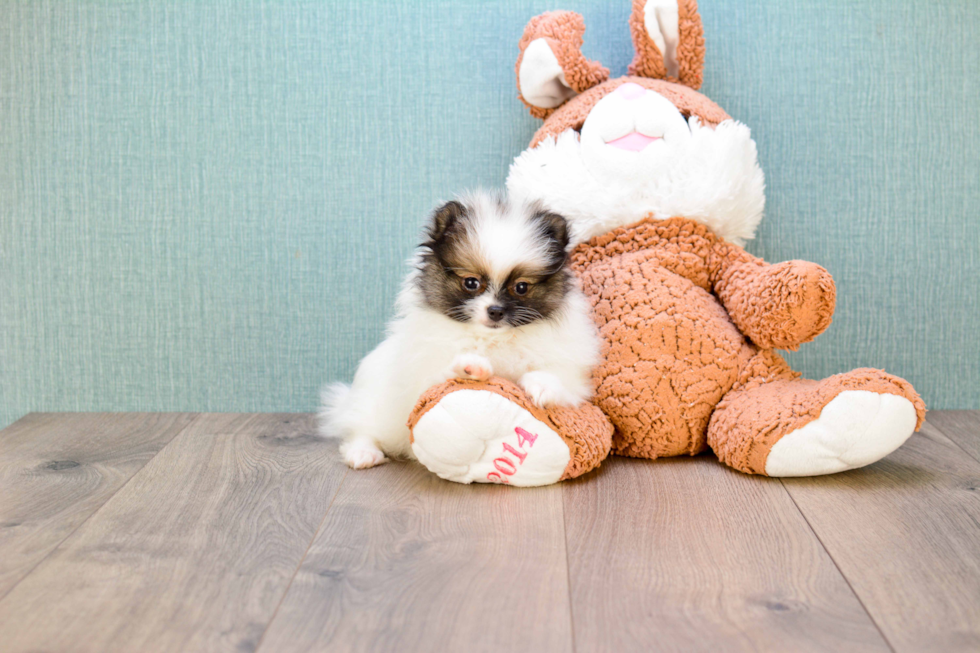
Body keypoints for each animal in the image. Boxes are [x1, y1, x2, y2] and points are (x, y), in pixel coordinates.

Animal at [318, 188, 600, 468]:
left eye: (521, 287)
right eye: (471, 282)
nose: (495, 311)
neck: (492, 339)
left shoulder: (571, 374)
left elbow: (558, 377)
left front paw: (541, 386)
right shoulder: (423, 377)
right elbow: (441, 378)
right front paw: (471, 367)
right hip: (372, 403)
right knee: (360, 428)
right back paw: (363, 453)